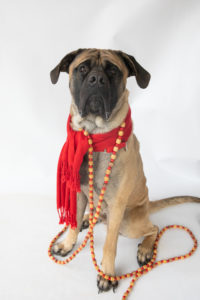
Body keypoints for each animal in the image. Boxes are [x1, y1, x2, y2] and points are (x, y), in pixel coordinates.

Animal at [50, 49, 200, 292]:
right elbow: (73, 222)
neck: (95, 137)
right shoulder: (78, 192)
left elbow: (110, 245)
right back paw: (88, 218)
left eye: (113, 70)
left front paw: (107, 274)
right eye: (82, 68)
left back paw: (146, 249)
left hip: (129, 223)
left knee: (153, 227)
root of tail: (148, 205)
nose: (96, 79)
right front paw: (67, 244)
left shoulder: (117, 205)